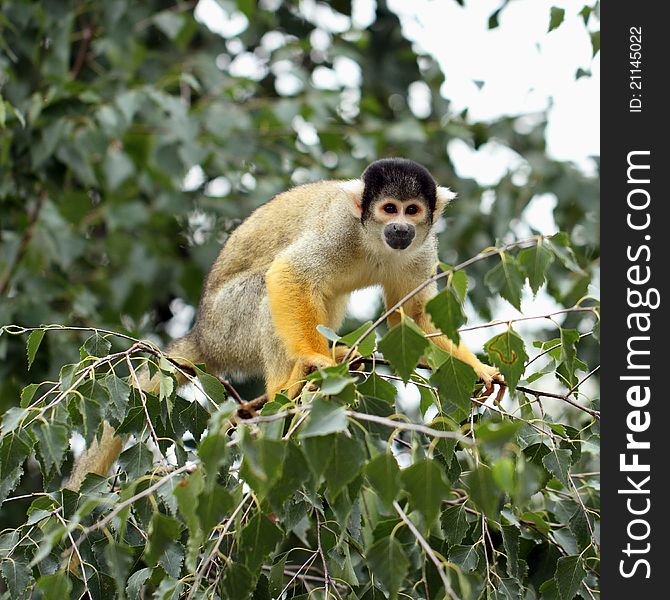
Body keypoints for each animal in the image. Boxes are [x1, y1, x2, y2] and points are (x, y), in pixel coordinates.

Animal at [67, 158, 504, 488]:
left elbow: (412, 318)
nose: (401, 228)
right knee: (267, 286)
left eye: (412, 209)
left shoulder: (422, 248)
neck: (373, 240)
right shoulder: (340, 229)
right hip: (228, 328)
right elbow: (290, 273)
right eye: (389, 209)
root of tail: (202, 334)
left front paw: (476, 368)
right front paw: (314, 358)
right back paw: (286, 389)